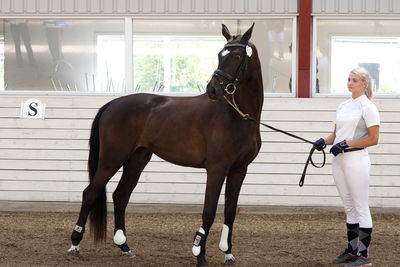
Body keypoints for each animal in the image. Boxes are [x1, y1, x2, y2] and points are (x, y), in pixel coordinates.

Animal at [67, 23, 264, 267]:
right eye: (220, 55)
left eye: (237, 56)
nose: (213, 89)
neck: (236, 116)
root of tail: (112, 104)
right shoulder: (216, 169)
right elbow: (208, 212)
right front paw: (200, 255)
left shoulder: (239, 170)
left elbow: (230, 211)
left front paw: (228, 253)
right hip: (111, 160)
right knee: (90, 194)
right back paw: (74, 244)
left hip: (137, 159)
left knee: (120, 196)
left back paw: (124, 247)